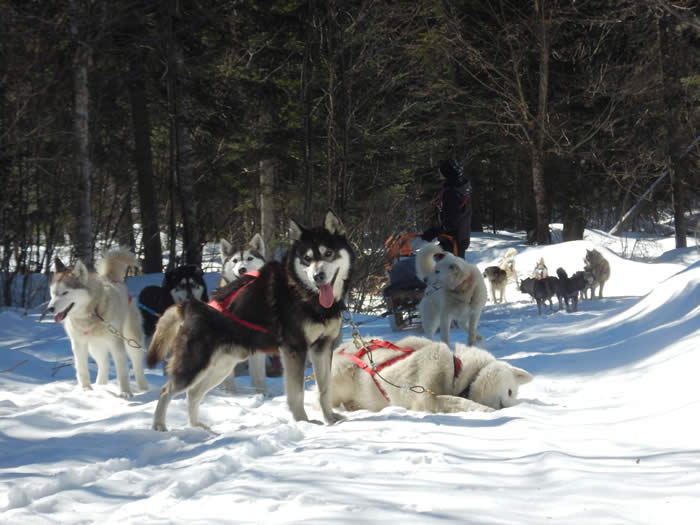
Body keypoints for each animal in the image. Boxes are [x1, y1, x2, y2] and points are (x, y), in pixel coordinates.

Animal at [41, 248, 149, 396]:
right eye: (53, 293)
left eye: (65, 293)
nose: (50, 308)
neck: (92, 312)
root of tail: (111, 278)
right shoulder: (78, 344)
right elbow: (82, 369)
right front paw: (86, 390)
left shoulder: (116, 344)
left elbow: (122, 371)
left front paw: (125, 393)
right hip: (95, 347)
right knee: (104, 364)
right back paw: (100, 386)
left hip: (131, 341)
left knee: (137, 365)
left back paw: (144, 389)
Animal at [326, 336, 532, 414]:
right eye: (510, 392)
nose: (509, 407)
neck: (457, 370)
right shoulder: (426, 397)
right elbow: (459, 401)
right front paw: (486, 410)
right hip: (340, 378)